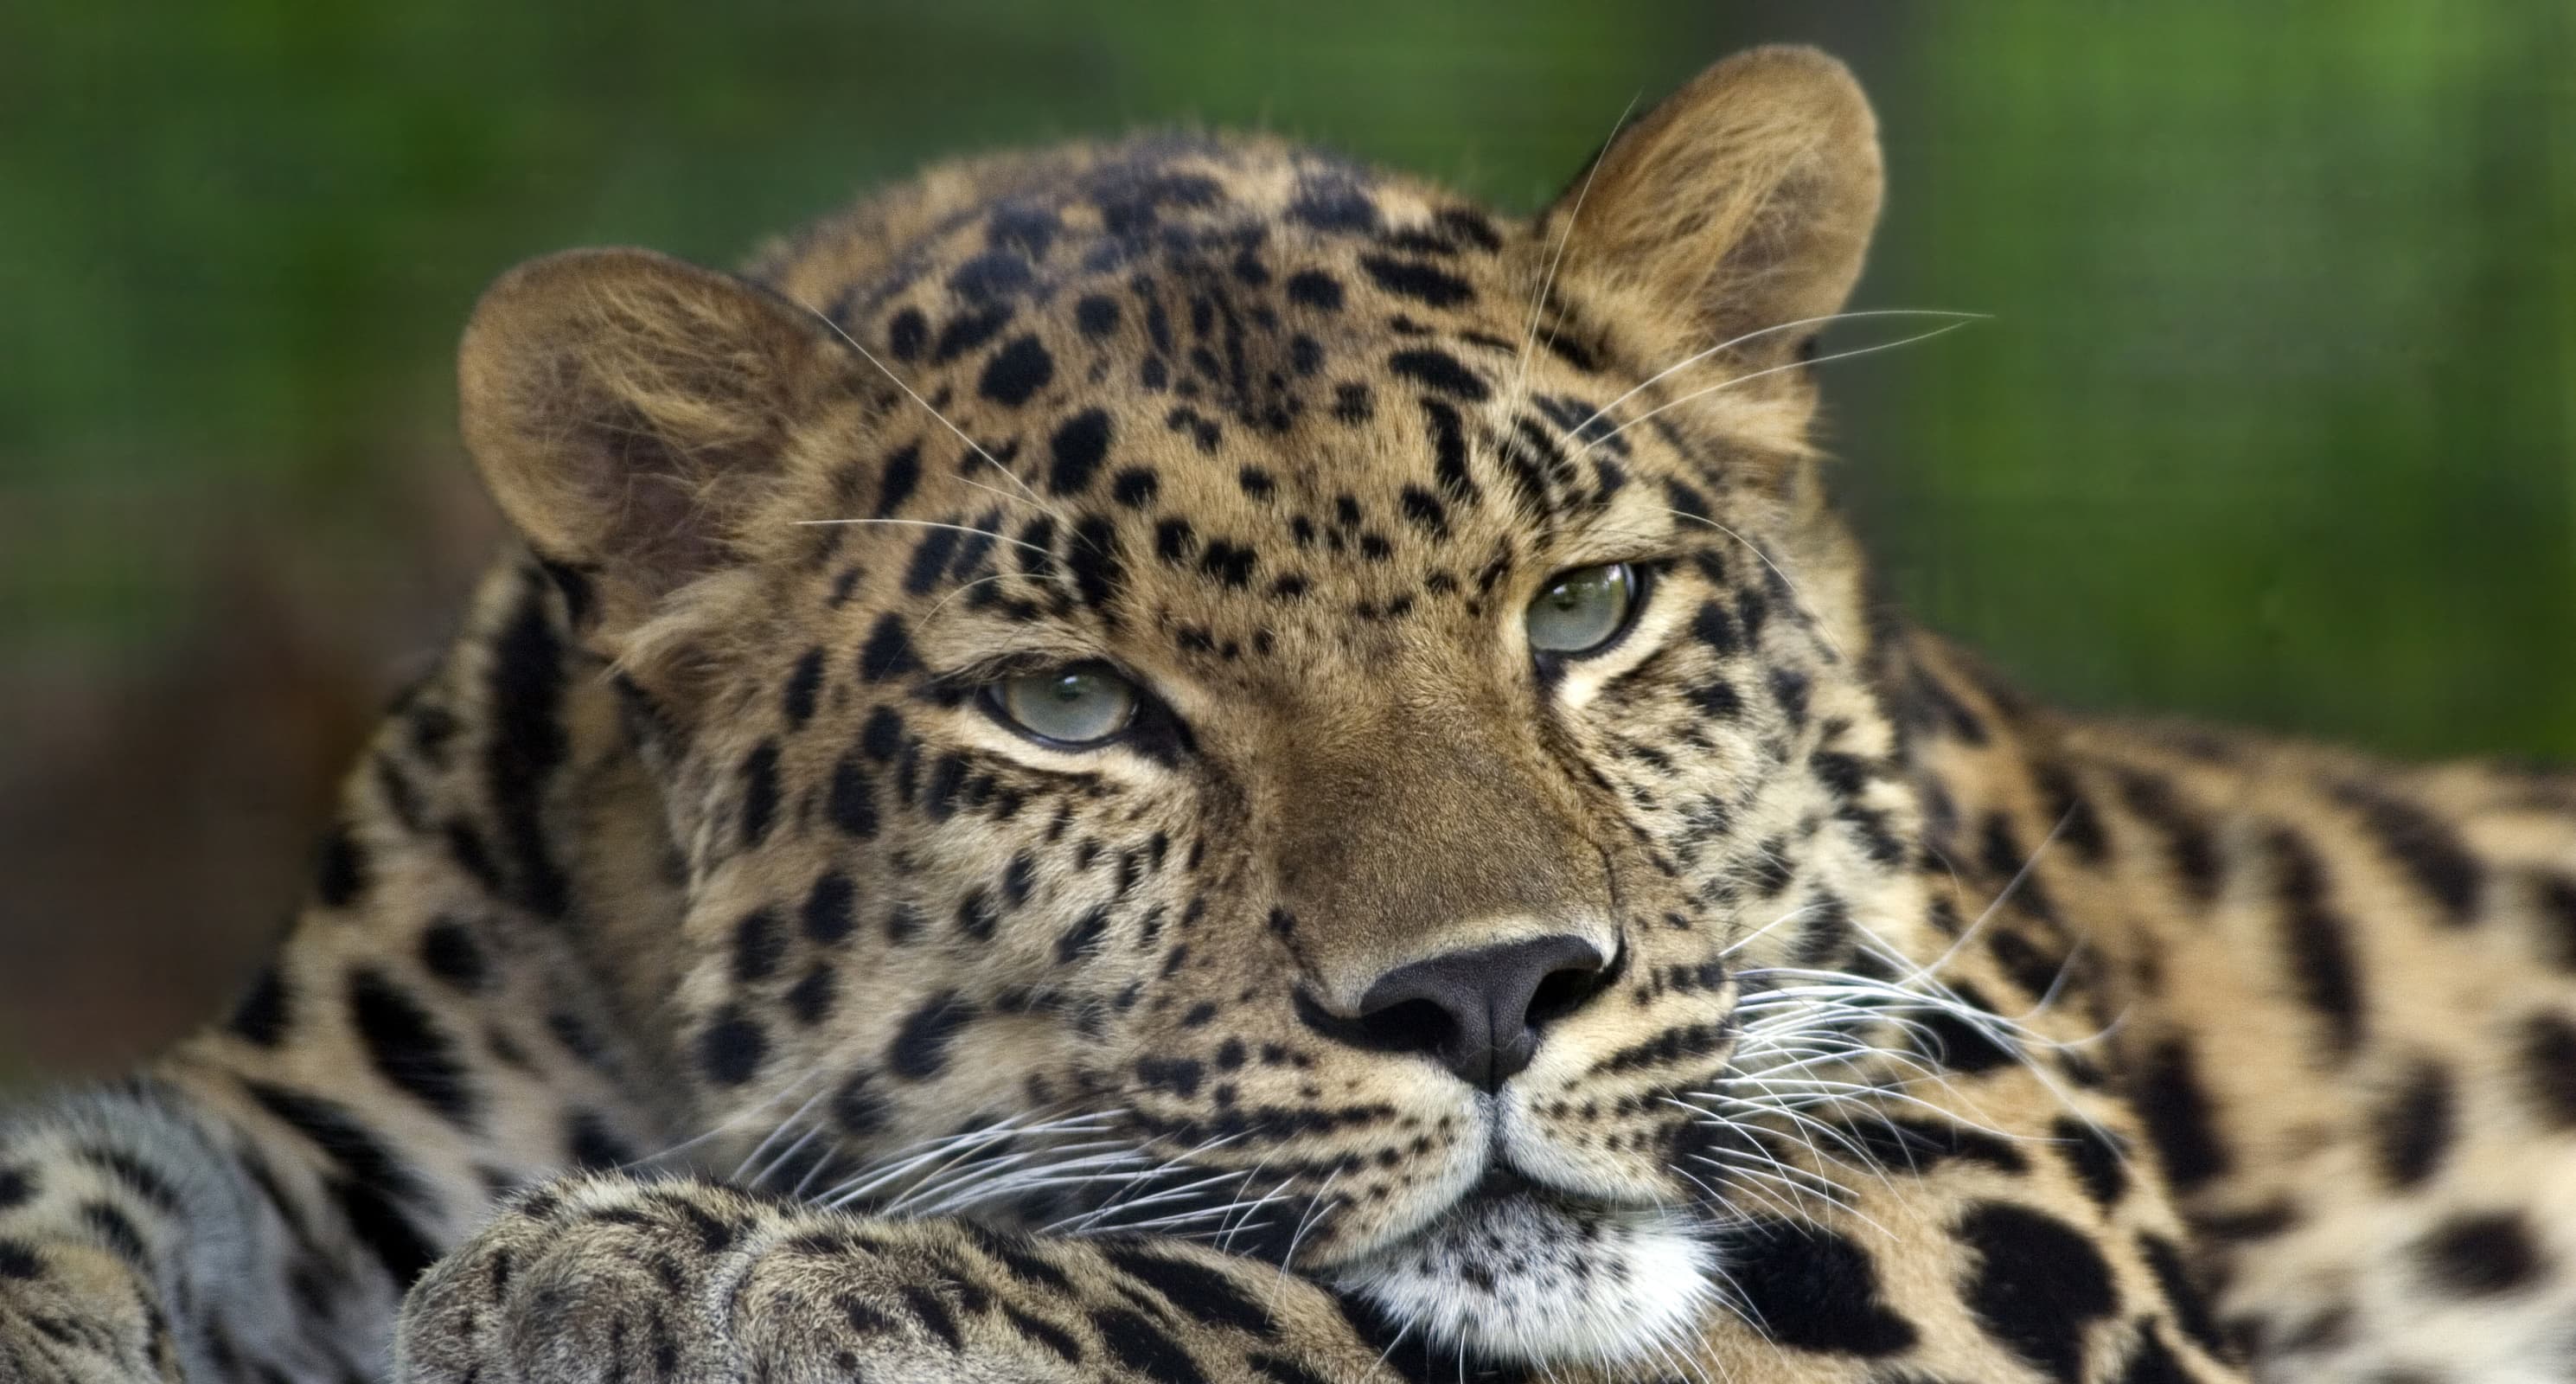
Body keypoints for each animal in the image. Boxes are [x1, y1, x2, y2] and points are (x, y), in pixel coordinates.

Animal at [3, 43, 2573, 1384]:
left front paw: (726, 1272)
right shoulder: (319, 1119)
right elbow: (82, 1172)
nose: (1492, 994)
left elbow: (1283, 1300)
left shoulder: (1987, 1167)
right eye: (1071, 706)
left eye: (1584, 607)